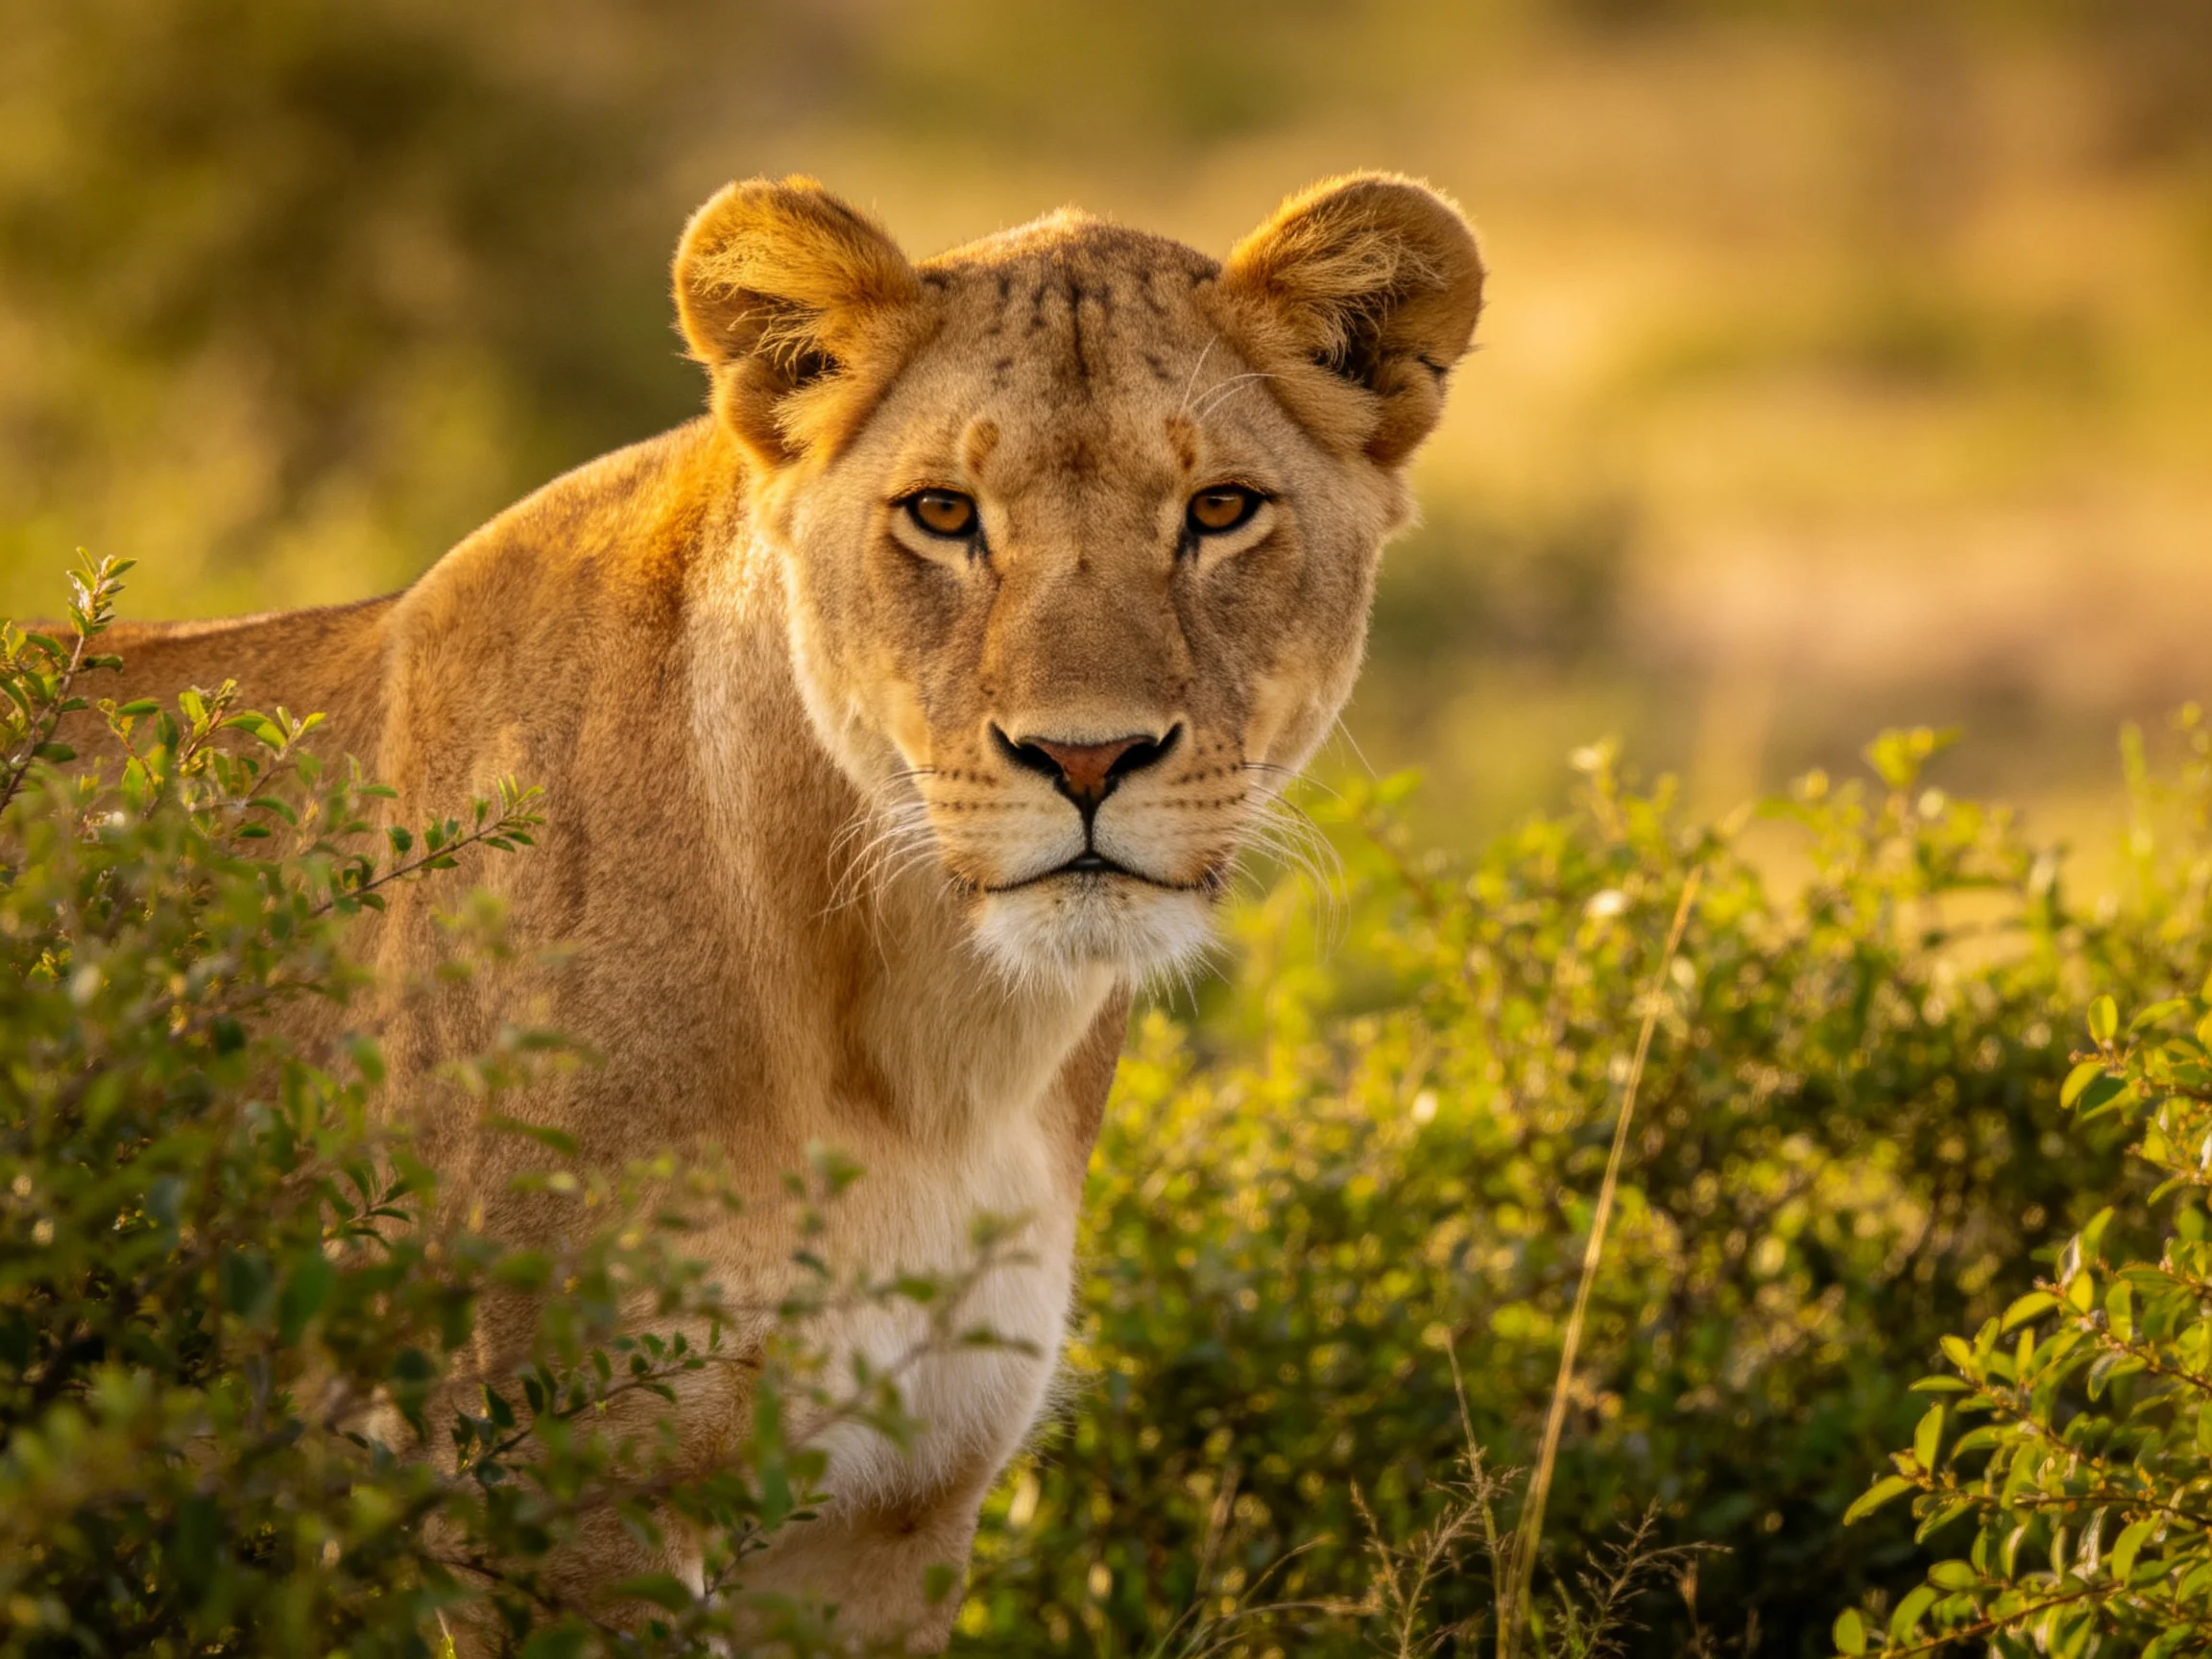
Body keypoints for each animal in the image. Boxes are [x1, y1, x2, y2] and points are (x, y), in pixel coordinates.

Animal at [87, 173, 1484, 1647]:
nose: (1089, 758)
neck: (929, 1057)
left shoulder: (891, 1518)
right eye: (942, 514)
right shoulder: (550, 1502)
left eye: (1220, 509)